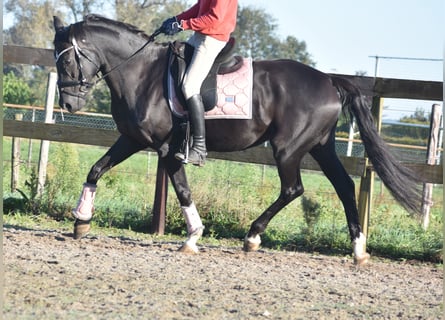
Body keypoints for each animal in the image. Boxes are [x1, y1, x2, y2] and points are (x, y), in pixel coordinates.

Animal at [52, 15, 420, 264]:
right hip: (320, 146)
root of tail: (329, 80)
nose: (69, 104)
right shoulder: (132, 139)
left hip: (288, 148)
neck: (143, 74)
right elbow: (96, 169)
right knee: (343, 186)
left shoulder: (168, 149)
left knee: (293, 189)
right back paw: (358, 250)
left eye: (67, 58)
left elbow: (183, 191)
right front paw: (81, 220)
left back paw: (253, 236)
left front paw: (192, 238)